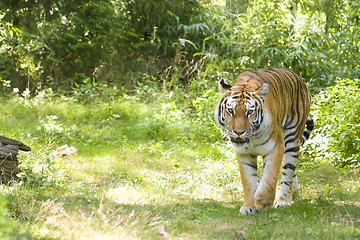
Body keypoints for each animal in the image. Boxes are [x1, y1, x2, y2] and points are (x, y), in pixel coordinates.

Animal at [215, 67, 314, 216]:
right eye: (230, 110)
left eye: (250, 112)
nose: (238, 132)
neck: (252, 138)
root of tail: (300, 80)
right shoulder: (243, 154)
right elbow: (248, 181)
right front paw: (249, 207)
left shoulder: (276, 147)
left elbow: (269, 178)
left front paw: (263, 203)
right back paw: (296, 196)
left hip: (292, 138)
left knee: (288, 171)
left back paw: (283, 201)